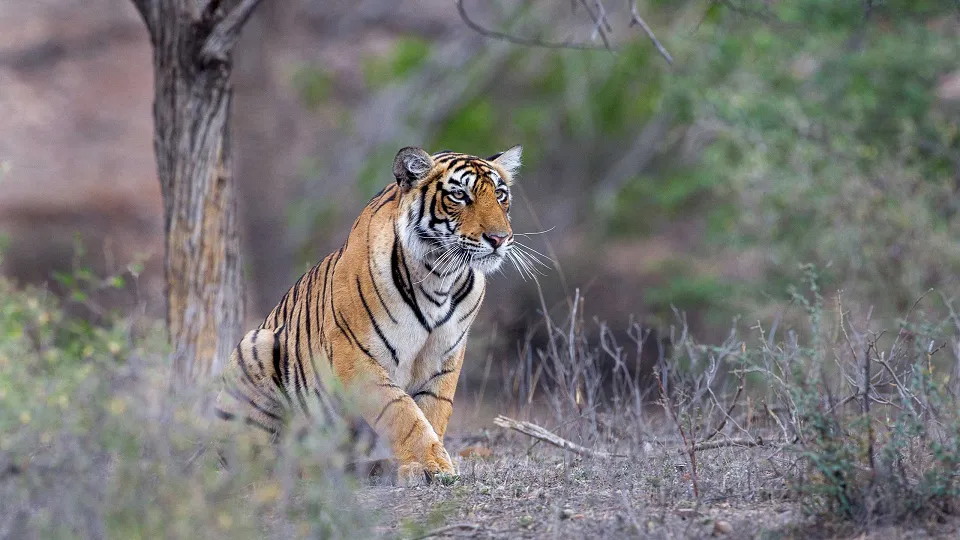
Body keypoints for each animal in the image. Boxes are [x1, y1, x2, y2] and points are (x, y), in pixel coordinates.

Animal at [213, 145, 522, 486]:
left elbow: (432, 410)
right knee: (255, 463)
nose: (499, 239)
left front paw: (427, 463)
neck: (440, 276)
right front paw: (431, 465)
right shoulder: (355, 354)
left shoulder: (445, 358)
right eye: (459, 195)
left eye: (500, 195)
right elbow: (401, 411)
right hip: (256, 345)